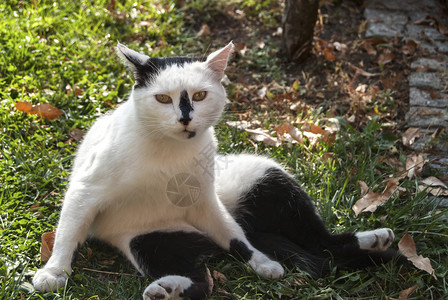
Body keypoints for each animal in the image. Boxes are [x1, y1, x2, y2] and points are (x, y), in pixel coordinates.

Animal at [33, 42, 400, 300]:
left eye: (199, 95)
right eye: (162, 98)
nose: (185, 118)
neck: (167, 154)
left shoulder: (206, 202)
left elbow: (236, 238)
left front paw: (263, 263)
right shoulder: (85, 190)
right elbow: (67, 232)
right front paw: (54, 271)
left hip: (269, 176)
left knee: (320, 243)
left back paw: (376, 238)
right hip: (149, 242)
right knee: (201, 281)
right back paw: (165, 290)